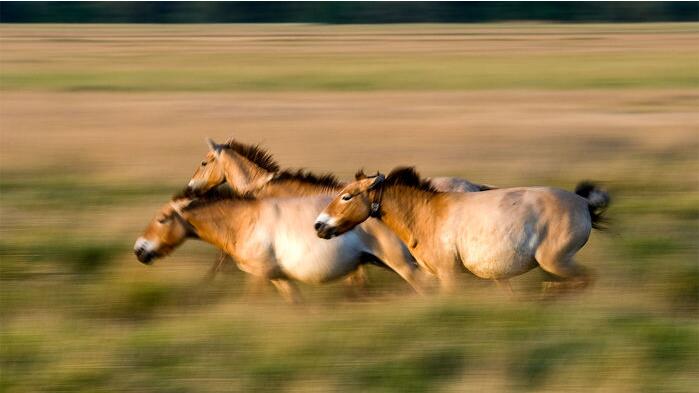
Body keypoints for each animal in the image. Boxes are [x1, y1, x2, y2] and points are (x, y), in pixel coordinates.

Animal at [314, 165, 608, 290]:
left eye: (346, 196)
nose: (319, 226)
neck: (427, 215)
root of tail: (583, 202)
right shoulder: (430, 274)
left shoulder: (449, 274)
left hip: (555, 261)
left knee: (587, 279)